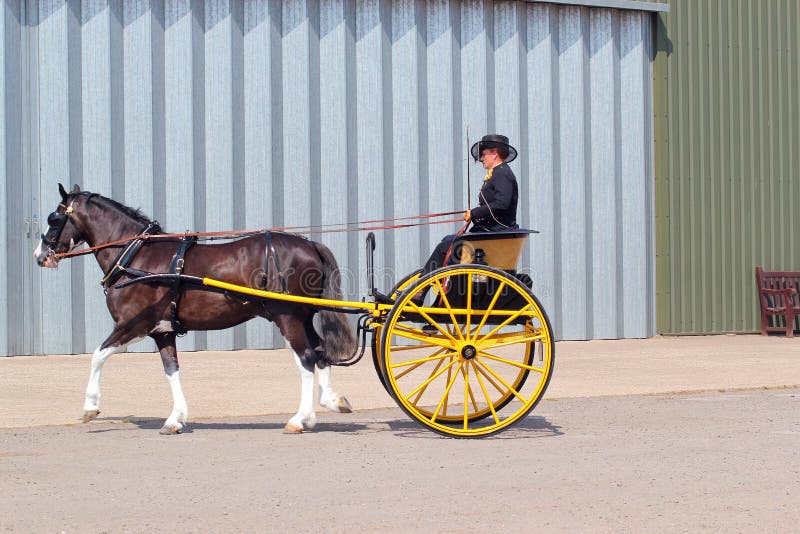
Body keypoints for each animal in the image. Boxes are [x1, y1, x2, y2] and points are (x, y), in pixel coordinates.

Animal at [32, 184, 356, 436]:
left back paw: (299, 419)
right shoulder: (161, 331)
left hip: (287, 317)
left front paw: (90, 407)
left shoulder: (131, 325)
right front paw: (175, 419)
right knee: (320, 352)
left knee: (306, 359)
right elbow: (171, 369)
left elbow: (97, 356)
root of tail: (310, 245)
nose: (39, 255)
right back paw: (329, 403)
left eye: (54, 218)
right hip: (303, 317)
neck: (135, 257)